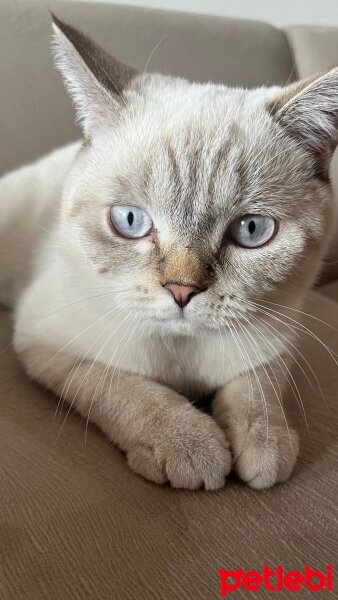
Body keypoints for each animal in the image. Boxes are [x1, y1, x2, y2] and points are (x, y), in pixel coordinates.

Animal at [1, 16, 336, 490]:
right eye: (130, 221)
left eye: (251, 230)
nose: (181, 290)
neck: (184, 357)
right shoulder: (44, 343)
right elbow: (124, 387)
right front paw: (189, 445)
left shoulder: (279, 336)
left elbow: (258, 389)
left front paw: (265, 445)